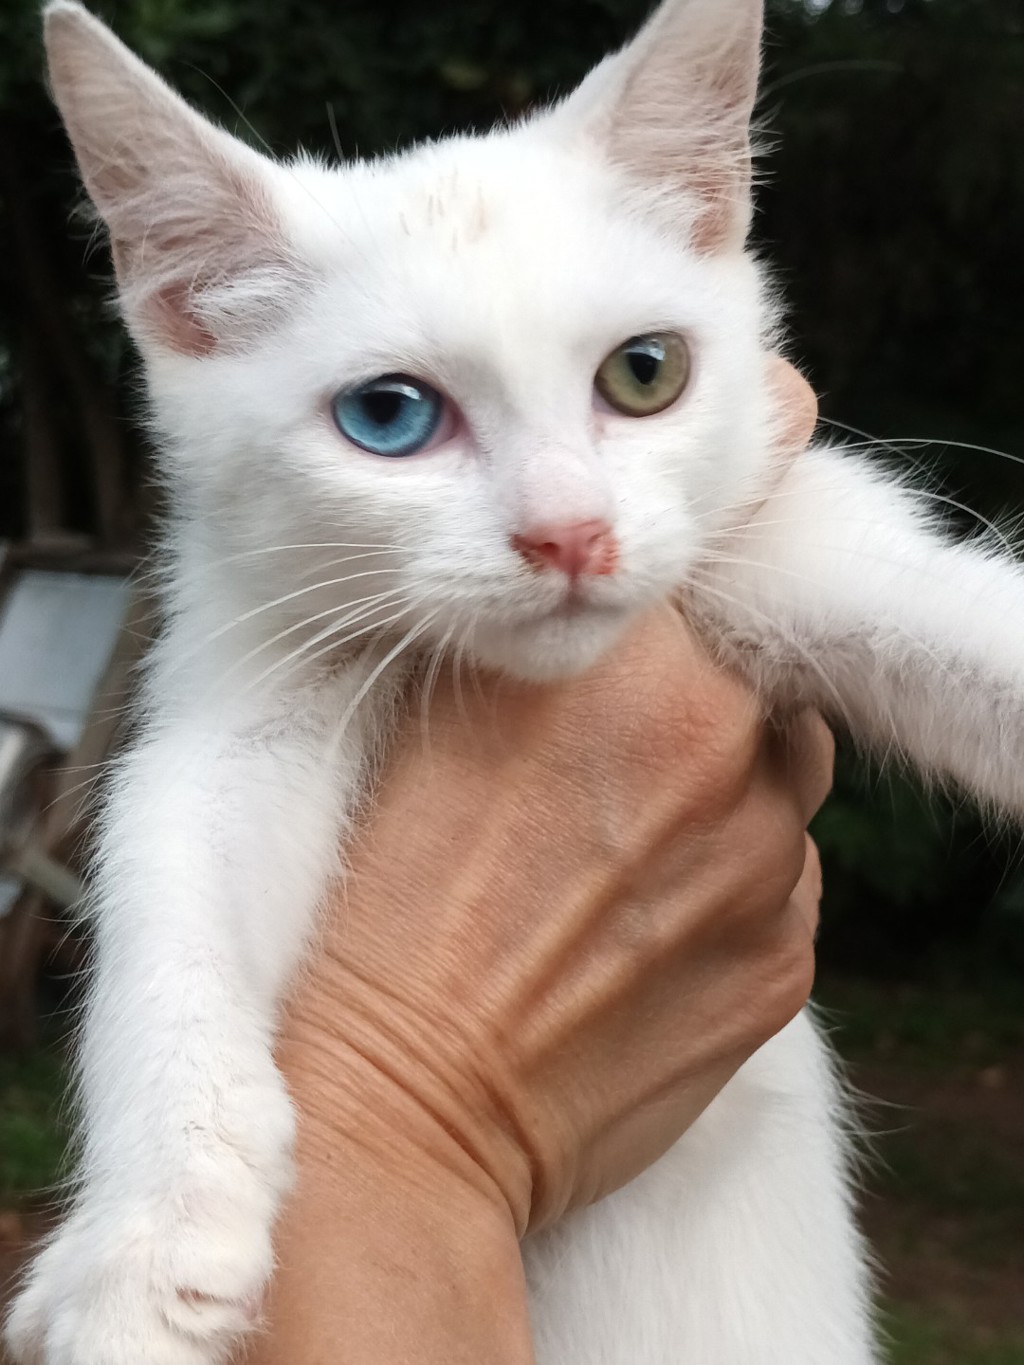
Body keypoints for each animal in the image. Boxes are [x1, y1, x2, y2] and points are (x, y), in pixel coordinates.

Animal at [6, 0, 1023, 1362]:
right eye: (387, 416)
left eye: (647, 371)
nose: (568, 534)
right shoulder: (239, 677)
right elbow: (169, 880)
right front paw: (147, 1239)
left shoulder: (784, 541)